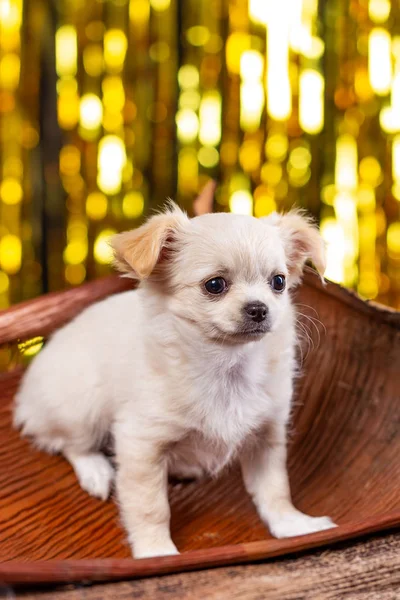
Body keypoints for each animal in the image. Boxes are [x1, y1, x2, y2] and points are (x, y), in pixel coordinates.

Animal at [14, 206, 336, 556]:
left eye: (278, 282)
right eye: (215, 285)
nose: (259, 308)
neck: (227, 368)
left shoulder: (266, 435)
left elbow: (275, 489)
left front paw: (293, 525)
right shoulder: (141, 443)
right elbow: (150, 507)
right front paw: (156, 552)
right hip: (82, 407)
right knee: (69, 444)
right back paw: (96, 471)